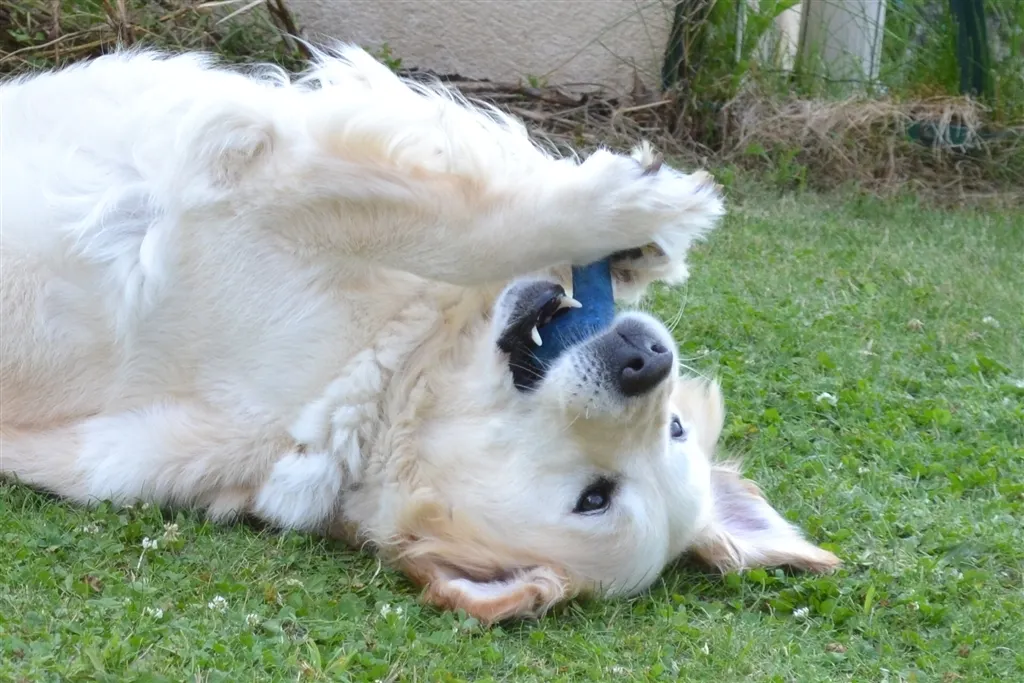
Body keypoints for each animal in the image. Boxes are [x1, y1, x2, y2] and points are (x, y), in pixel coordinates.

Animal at [0, 44, 839, 623]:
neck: (376, 378)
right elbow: (473, 232)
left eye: (594, 497)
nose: (646, 357)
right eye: (674, 429)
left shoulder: (262, 204)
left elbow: (457, 226)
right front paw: (636, 232)